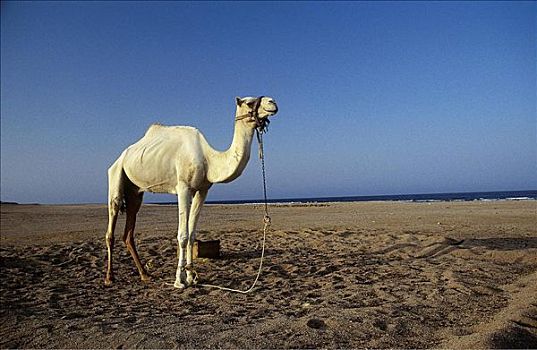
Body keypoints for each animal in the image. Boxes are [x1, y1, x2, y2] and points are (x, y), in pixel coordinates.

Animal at [105, 95, 280, 288]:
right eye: (249, 102)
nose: (272, 102)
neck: (208, 159)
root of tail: (121, 156)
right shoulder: (183, 188)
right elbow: (182, 236)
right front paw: (178, 281)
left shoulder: (202, 190)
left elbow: (191, 234)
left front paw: (191, 277)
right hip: (116, 174)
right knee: (111, 223)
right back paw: (110, 277)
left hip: (135, 191)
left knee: (129, 231)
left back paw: (145, 275)